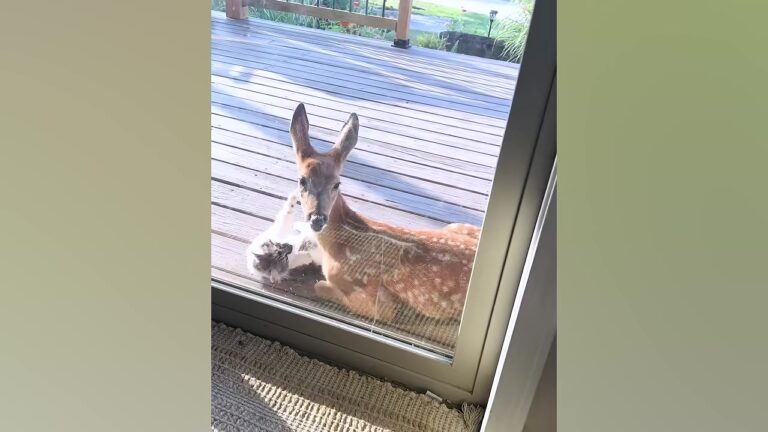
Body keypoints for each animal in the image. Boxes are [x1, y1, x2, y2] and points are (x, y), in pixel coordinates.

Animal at [289, 103, 480, 323]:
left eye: (336, 184)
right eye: (302, 180)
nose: (317, 219)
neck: (336, 243)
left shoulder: (380, 303)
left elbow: (319, 285)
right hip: (456, 226)